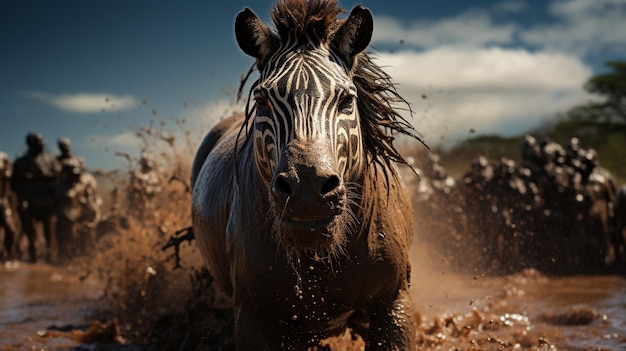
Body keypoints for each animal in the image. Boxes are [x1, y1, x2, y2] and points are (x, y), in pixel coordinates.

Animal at [190, 1, 424, 350]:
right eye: (262, 101)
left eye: (347, 100)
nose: (307, 189)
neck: (319, 260)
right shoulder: (252, 315)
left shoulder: (394, 301)